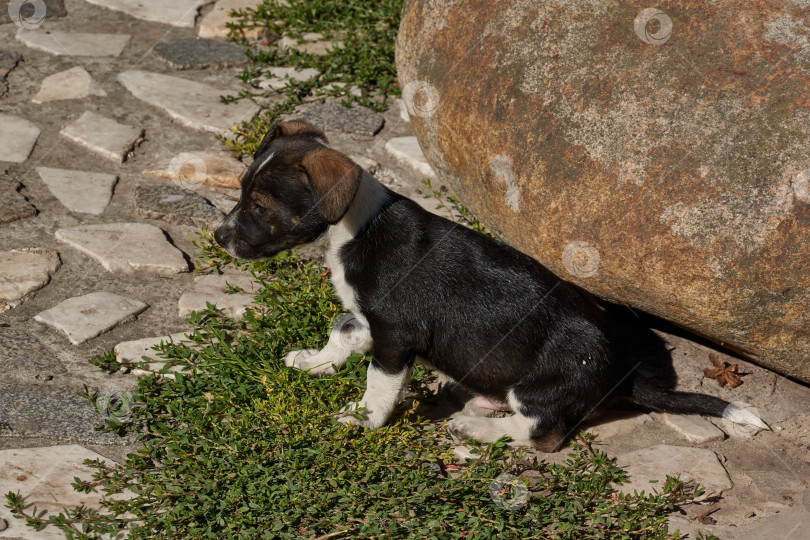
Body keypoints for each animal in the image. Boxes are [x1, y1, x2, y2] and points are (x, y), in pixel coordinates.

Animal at [213, 119, 764, 452]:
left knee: (541, 435)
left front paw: (364, 420)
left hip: (537, 390)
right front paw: (314, 362)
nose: (218, 238)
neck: (357, 228)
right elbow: (341, 330)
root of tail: (622, 375)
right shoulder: (369, 320)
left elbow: (378, 384)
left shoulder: (397, 336)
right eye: (241, 190)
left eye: (260, 206)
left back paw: (476, 426)